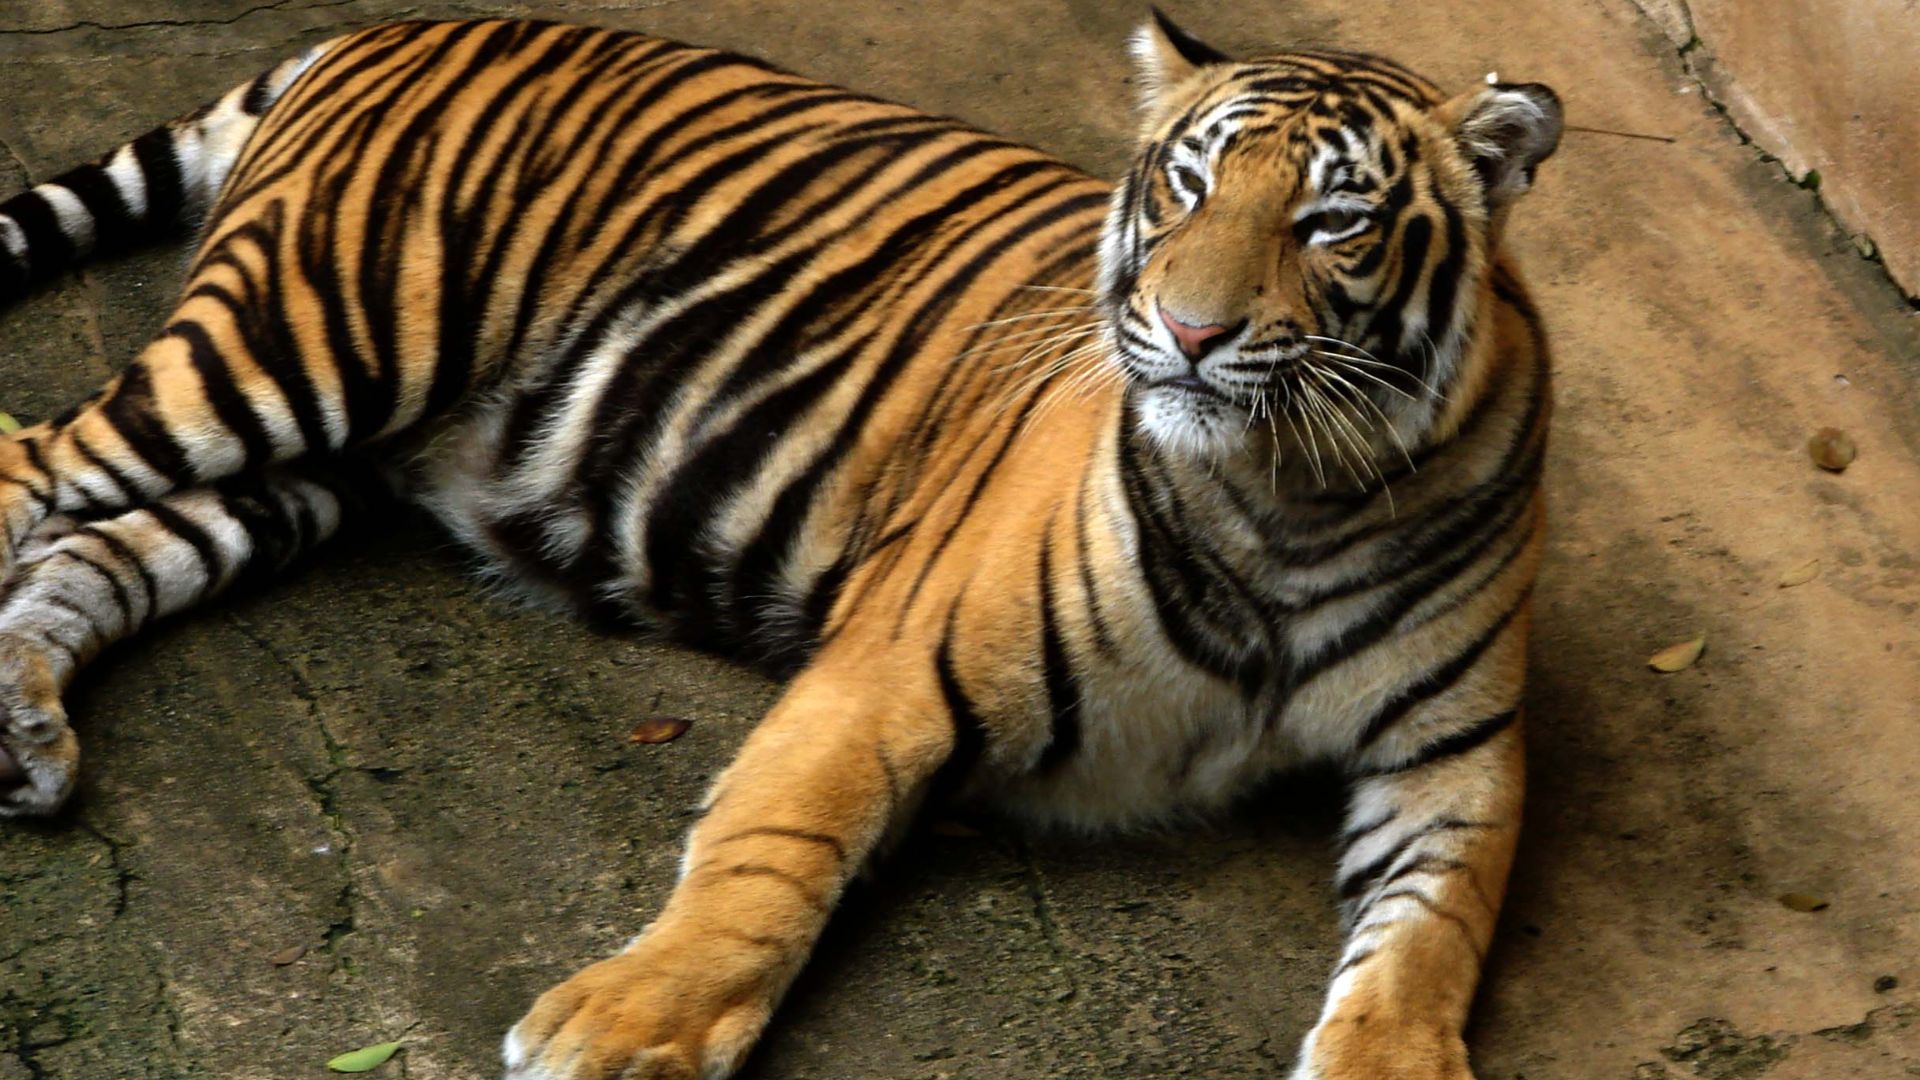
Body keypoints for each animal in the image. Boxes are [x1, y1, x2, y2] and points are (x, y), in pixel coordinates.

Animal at [0, 9, 1560, 1079]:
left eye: (1335, 219)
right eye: (1185, 188)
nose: (1184, 330)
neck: (1291, 494)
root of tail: (381, 25)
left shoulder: (1457, 755)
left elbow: (1431, 937)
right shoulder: (893, 667)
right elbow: (771, 851)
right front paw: (623, 1028)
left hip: (314, 470)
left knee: (93, 552)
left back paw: (23, 733)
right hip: (299, 354)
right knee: (30, 473)